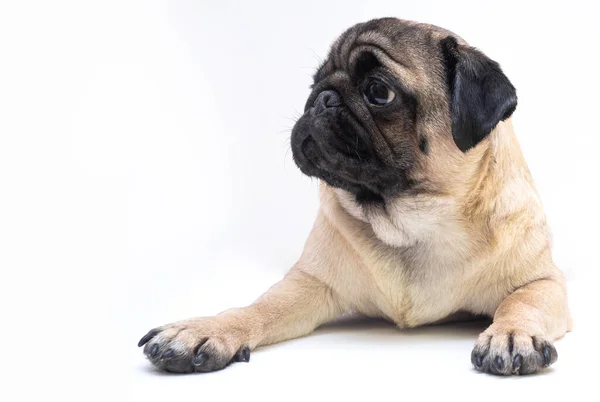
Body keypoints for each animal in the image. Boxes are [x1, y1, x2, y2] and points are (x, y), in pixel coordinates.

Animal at [137, 18, 572, 376]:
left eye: (379, 92)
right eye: (314, 82)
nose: (322, 98)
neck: (413, 223)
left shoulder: (543, 282)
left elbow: (521, 302)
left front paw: (512, 334)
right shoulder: (309, 283)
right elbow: (260, 307)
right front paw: (206, 329)